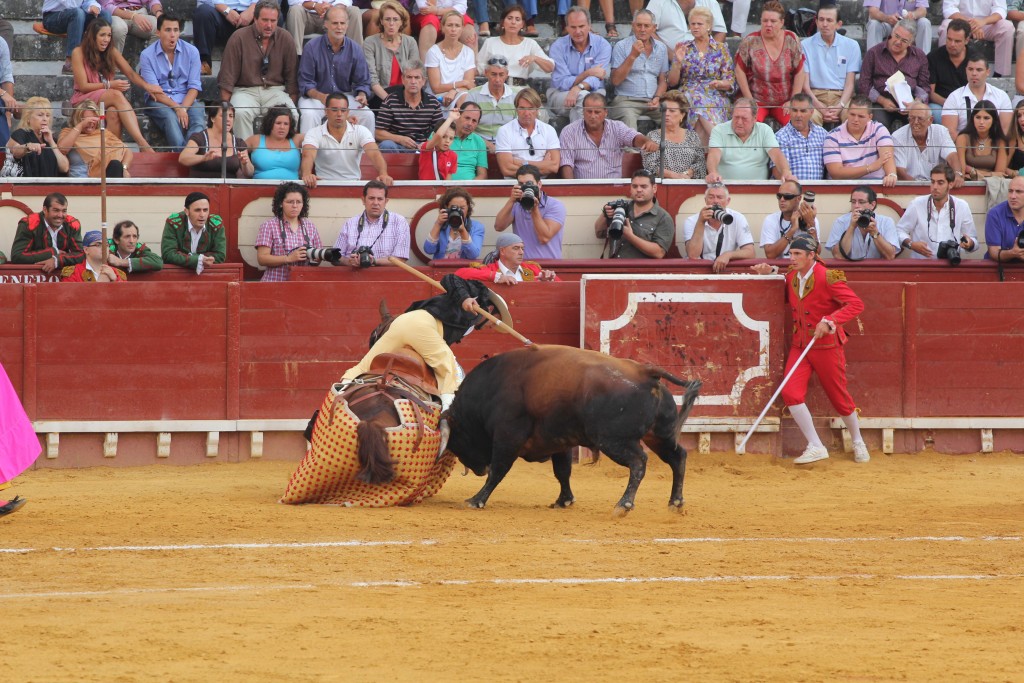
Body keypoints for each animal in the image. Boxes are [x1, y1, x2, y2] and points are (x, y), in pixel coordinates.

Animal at [444, 344, 700, 516]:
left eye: (458, 438)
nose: (478, 470)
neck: (491, 390)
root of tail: (645, 371)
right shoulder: (559, 442)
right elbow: (562, 471)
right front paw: (563, 500)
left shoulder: (508, 437)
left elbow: (499, 470)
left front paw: (476, 499)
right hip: (658, 435)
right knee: (678, 457)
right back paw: (675, 502)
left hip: (614, 440)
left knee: (638, 462)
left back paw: (623, 504)